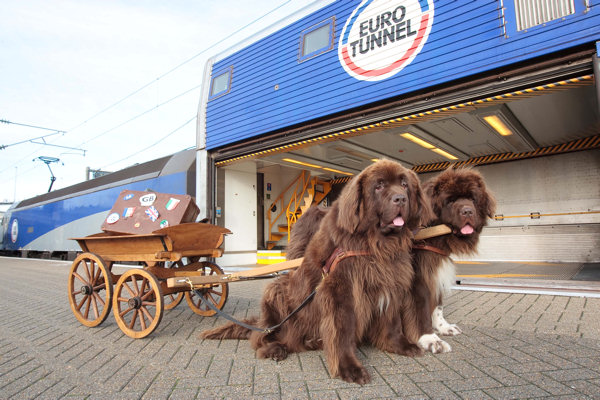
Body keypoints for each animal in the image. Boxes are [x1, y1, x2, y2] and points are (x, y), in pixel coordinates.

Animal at [202, 160, 432, 384]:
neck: (374, 243)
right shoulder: (340, 288)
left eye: (404, 184)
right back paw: (275, 349)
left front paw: (400, 345)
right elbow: (342, 330)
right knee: (260, 337)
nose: (400, 198)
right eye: (379, 185)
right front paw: (349, 367)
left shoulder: (391, 279)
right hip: (276, 290)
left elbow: (392, 321)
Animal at [412, 167, 496, 352]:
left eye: (472, 199)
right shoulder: (418, 280)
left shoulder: (436, 274)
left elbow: (437, 305)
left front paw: (443, 327)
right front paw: (430, 338)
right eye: (449, 201)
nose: (467, 211)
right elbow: (421, 309)